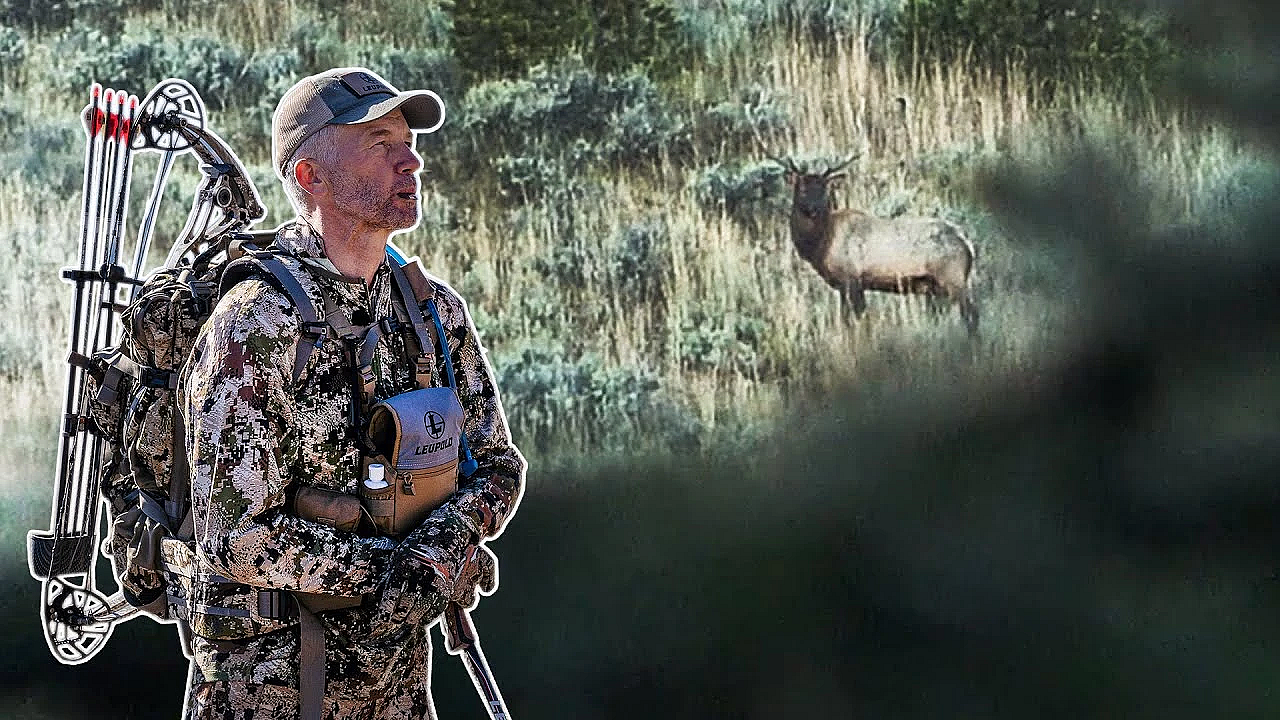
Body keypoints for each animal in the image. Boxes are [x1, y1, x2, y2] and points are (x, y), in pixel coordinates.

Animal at [772, 155, 979, 334]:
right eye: (802, 189)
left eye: (824, 190)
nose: (813, 209)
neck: (820, 245)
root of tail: (967, 244)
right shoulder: (849, 285)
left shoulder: (851, 279)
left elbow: (853, 320)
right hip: (937, 287)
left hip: (953, 277)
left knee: (972, 314)